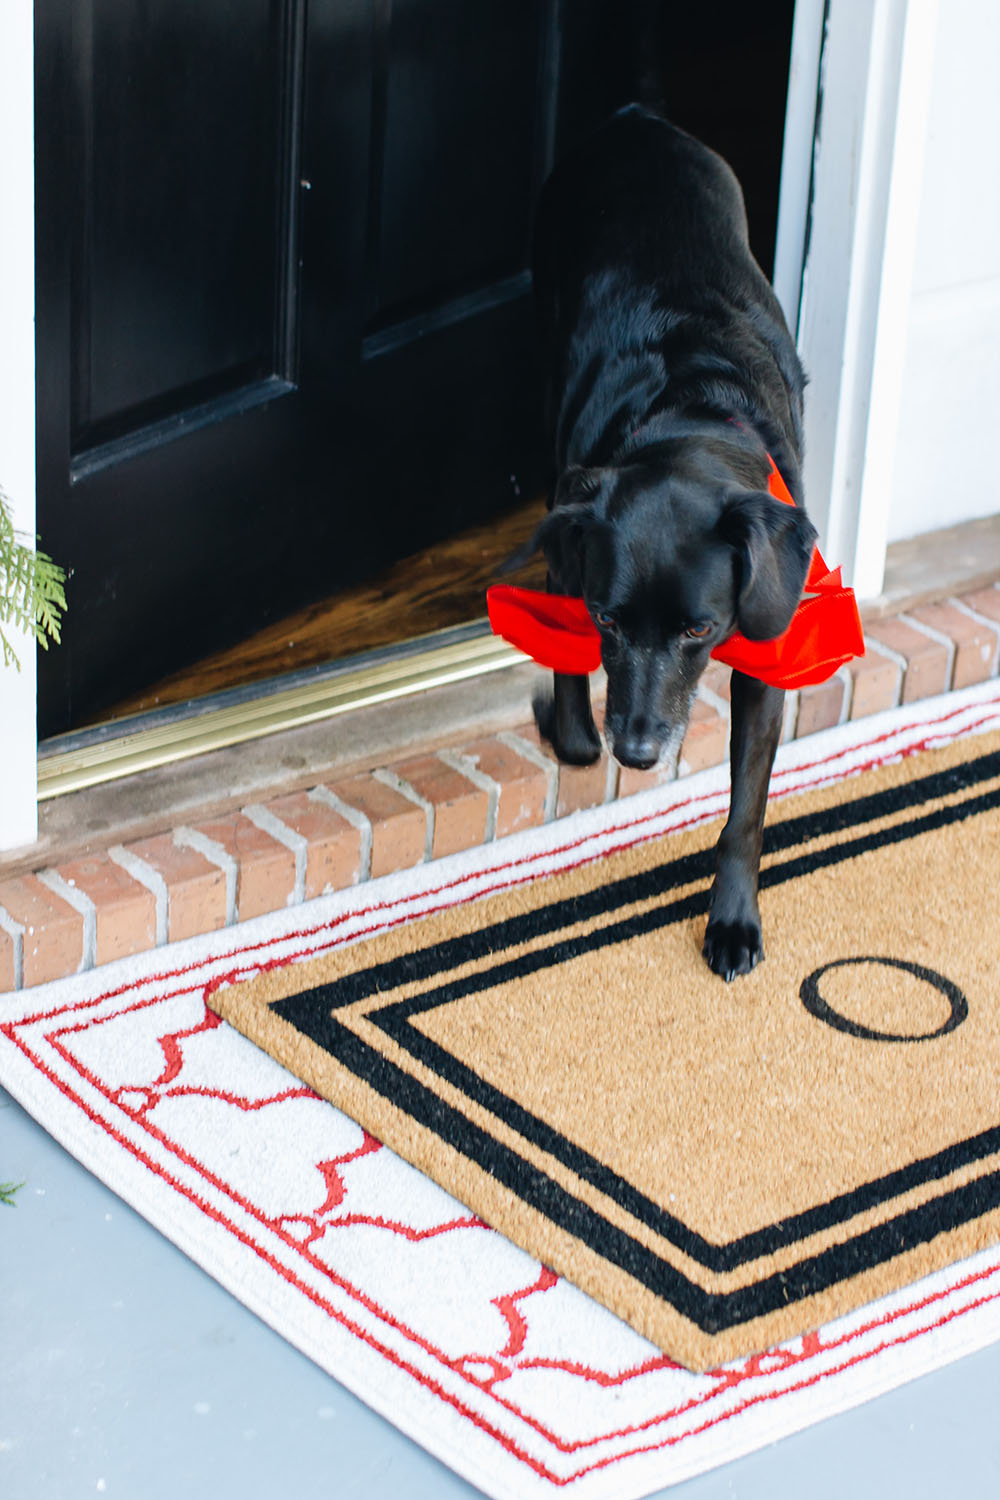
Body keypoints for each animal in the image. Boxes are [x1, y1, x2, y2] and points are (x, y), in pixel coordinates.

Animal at [527, 99, 815, 978]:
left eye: (700, 630)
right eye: (608, 621)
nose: (639, 752)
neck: (691, 412)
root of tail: (635, 120)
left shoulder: (765, 654)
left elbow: (746, 811)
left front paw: (733, 923)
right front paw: (571, 732)